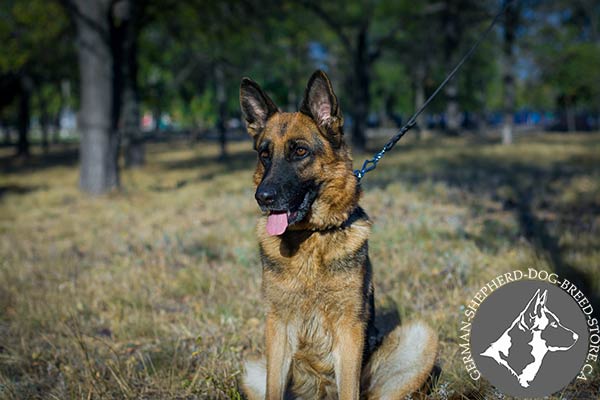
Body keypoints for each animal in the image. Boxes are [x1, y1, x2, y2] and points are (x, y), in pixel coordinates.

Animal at [240, 70, 440, 398]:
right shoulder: (277, 327)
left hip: (421, 339)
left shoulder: (349, 331)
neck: (311, 237)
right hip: (253, 368)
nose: (263, 197)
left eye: (300, 151)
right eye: (264, 154)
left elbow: (349, 388)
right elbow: (273, 389)